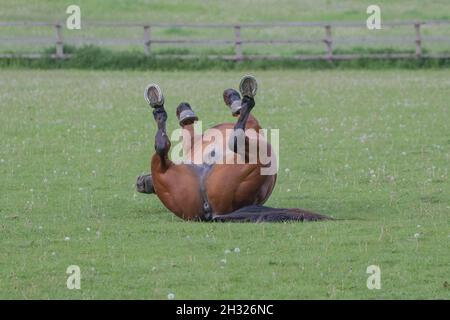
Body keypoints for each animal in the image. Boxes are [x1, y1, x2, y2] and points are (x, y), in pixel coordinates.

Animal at [135, 75, 328, 222]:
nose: (140, 182)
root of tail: (211, 213)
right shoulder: (253, 124)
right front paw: (233, 98)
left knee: (162, 151)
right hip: (260, 156)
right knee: (234, 139)